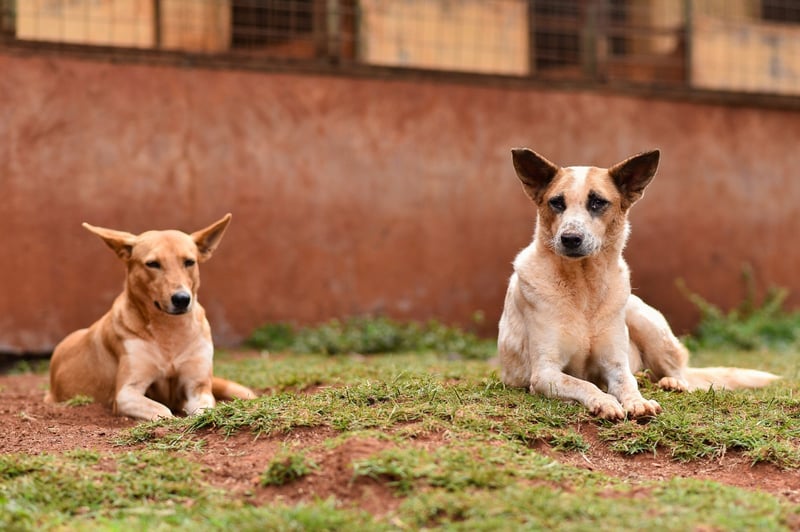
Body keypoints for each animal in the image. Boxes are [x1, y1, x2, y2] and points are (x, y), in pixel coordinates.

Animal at [44, 213, 256, 420]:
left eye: (189, 262)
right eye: (152, 264)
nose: (182, 299)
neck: (170, 331)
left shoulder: (198, 387)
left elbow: (204, 411)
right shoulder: (126, 393)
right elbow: (163, 411)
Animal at [496, 149, 780, 420]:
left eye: (597, 202)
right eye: (556, 202)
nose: (570, 238)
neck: (585, 289)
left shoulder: (615, 363)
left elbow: (626, 383)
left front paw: (638, 402)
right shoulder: (545, 372)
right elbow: (584, 384)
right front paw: (605, 402)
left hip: (644, 320)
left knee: (680, 373)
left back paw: (672, 383)